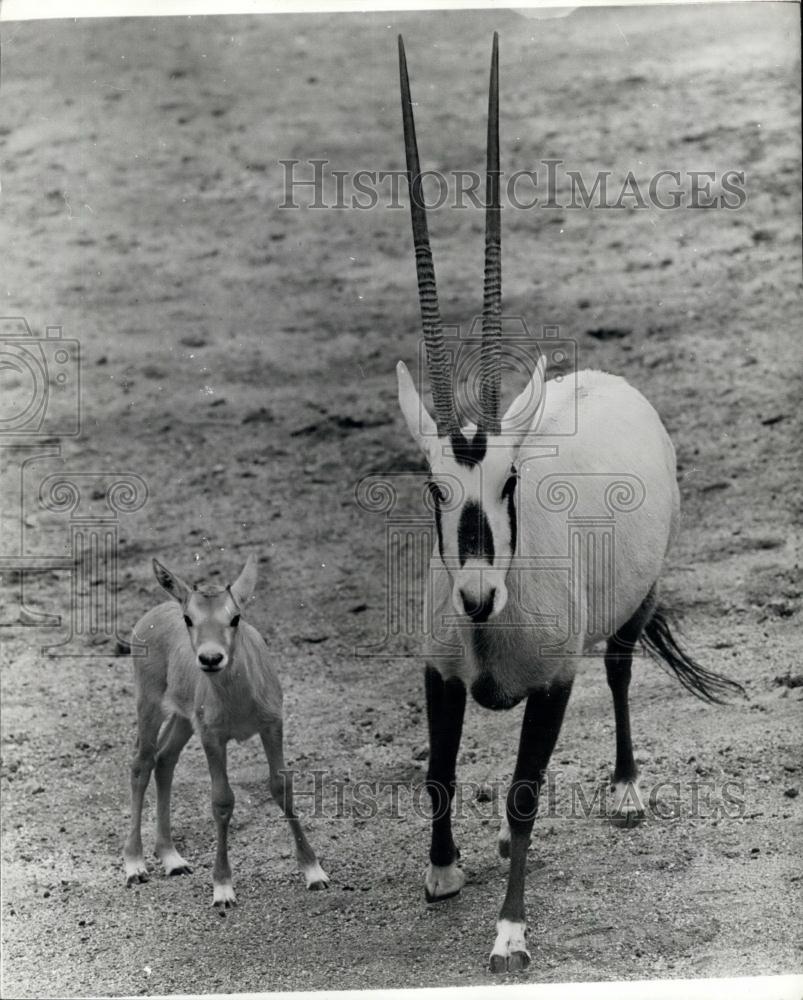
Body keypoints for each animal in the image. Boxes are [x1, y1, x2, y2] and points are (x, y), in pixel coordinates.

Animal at [123, 556, 330, 908]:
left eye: (235, 617)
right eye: (189, 618)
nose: (210, 658)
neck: (240, 701)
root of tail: (150, 615)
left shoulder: (272, 724)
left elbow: (282, 786)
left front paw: (314, 872)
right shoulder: (212, 736)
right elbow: (221, 800)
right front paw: (222, 888)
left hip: (184, 718)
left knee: (164, 759)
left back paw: (172, 858)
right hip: (149, 702)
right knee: (142, 762)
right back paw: (135, 864)